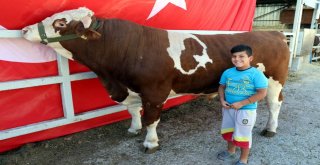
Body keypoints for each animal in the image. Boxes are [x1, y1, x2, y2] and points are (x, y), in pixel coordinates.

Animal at [22, 7, 290, 153]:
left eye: (60, 22)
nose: (24, 30)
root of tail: (273, 33)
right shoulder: (129, 89)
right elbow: (133, 112)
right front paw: (133, 129)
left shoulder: (154, 92)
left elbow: (151, 119)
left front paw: (150, 143)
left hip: (275, 80)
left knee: (274, 104)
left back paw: (270, 128)